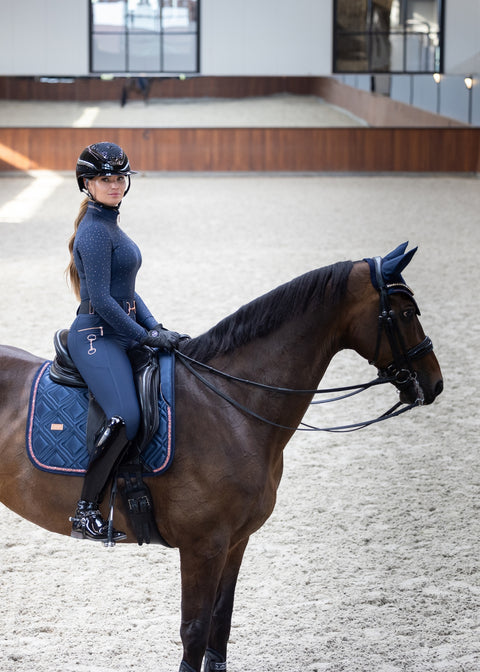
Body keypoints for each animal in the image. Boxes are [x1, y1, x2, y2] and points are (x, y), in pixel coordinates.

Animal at [0, 244, 442, 668]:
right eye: (406, 313)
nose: (434, 384)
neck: (231, 406)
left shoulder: (235, 541)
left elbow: (221, 621)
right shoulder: (204, 547)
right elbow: (194, 631)